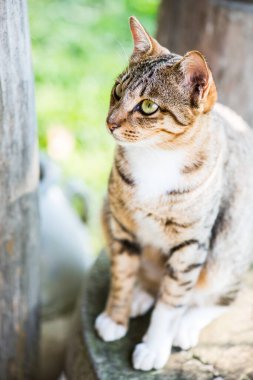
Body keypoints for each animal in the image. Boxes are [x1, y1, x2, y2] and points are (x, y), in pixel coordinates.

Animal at [94, 15, 253, 372]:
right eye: (117, 91)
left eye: (148, 106)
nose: (110, 123)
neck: (156, 158)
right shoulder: (122, 226)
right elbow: (122, 274)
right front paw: (116, 316)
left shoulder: (190, 245)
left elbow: (171, 301)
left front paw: (155, 346)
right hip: (105, 210)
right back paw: (141, 294)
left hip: (228, 255)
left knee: (217, 297)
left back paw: (185, 326)